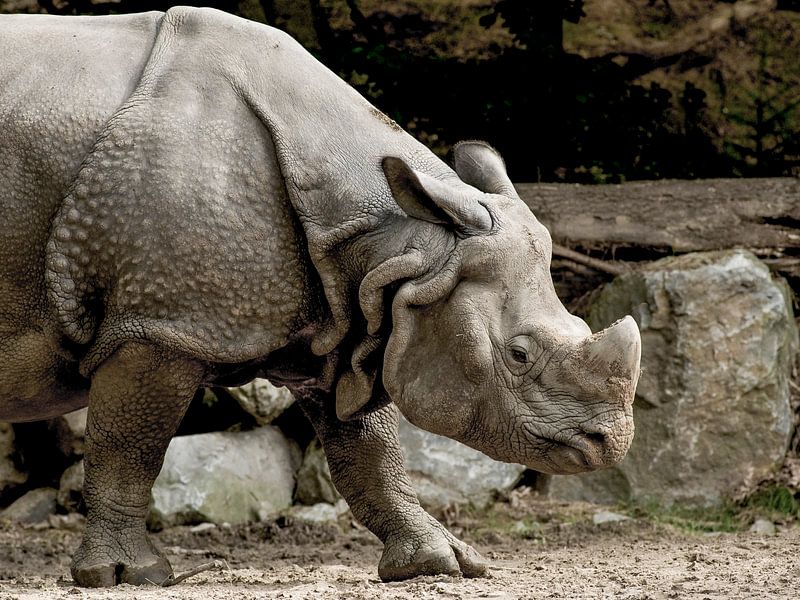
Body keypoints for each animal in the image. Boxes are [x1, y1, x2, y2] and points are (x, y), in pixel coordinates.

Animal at [0, 4, 636, 584]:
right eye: (519, 355)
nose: (610, 442)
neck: (397, 239)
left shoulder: (358, 316)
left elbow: (371, 453)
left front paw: (442, 564)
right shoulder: (158, 324)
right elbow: (127, 447)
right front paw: (127, 574)